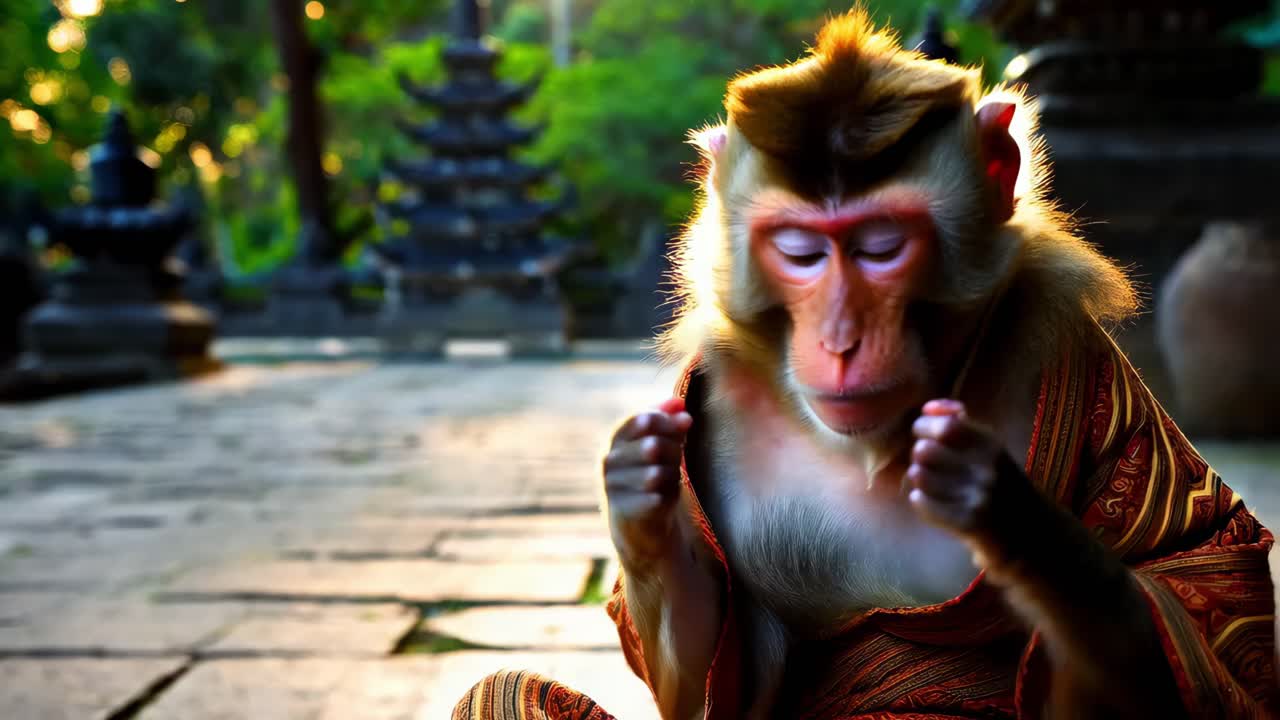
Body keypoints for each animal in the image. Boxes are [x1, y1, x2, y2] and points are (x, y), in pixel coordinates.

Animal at [601, 9, 1275, 720]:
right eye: (800, 252)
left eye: (881, 247)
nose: (841, 340)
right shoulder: (714, 391)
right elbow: (708, 681)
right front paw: (640, 503)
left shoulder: (1080, 355)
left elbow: (1195, 588)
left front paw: (1005, 507)